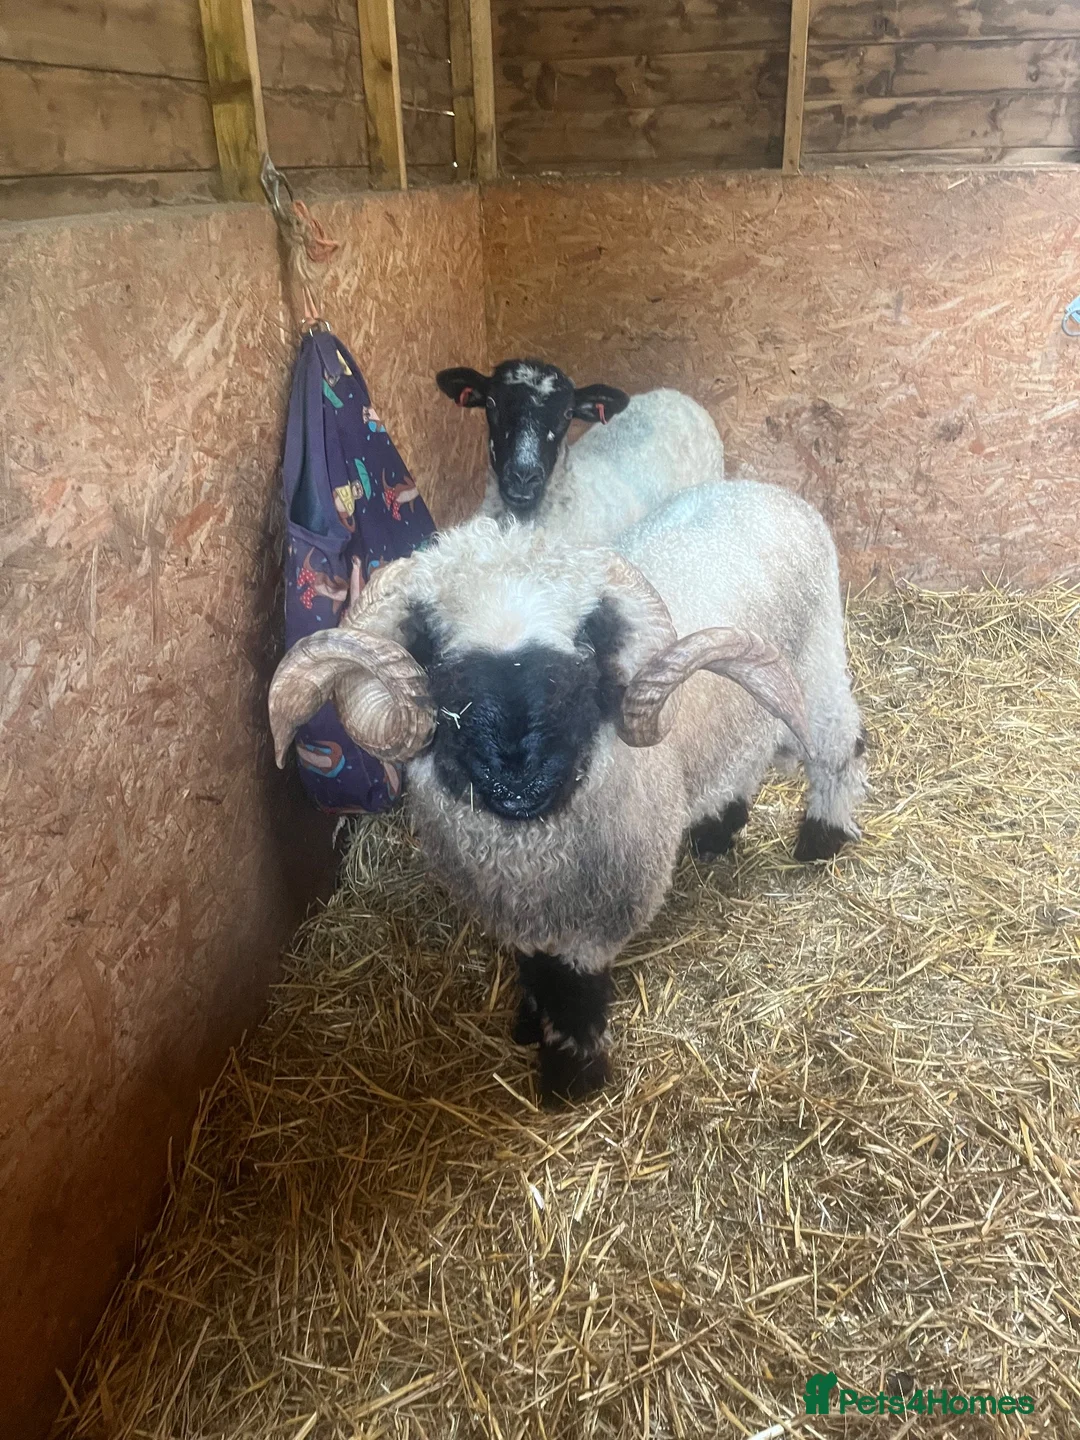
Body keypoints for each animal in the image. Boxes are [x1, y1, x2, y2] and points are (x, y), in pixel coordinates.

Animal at [268, 481, 867, 1103]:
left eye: (582, 659)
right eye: (438, 665)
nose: (517, 783)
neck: (530, 856)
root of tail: (762, 487)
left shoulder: (597, 919)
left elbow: (573, 992)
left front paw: (571, 1077)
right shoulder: (519, 911)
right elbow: (535, 971)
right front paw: (529, 1023)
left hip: (816, 668)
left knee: (840, 747)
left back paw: (822, 837)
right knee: (743, 761)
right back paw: (717, 829)